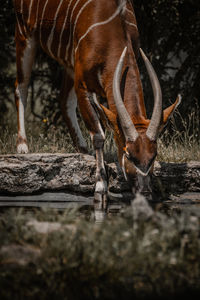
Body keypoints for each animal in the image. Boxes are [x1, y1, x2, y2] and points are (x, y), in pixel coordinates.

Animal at [13, 1, 180, 200]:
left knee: (64, 100)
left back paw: (82, 150)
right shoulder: (83, 86)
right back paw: (22, 145)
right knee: (21, 87)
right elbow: (99, 135)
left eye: (154, 155)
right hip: (25, 36)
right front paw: (101, 186)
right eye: (128, 154)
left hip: (69, 64)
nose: (145, 192)